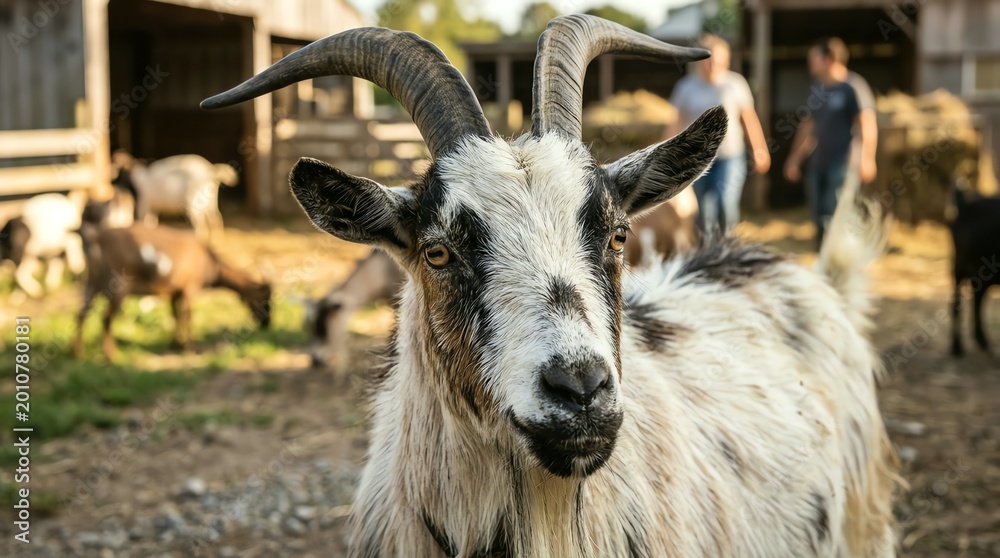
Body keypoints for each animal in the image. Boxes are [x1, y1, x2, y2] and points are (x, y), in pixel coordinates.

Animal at [73, 224, 271, 360]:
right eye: (265, 301)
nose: (266, 324)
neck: (210, 261)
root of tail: (97, 238)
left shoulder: (174, 292)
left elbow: (175, 315)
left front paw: (175, 344)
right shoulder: (190, 288)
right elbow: (187, 315)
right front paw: (192, 348)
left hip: (91, 283)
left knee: (81, 313)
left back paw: (78, 353)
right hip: (118, 287)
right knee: (106, 317)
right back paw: (112, 354)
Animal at [949, 186, 1000, 356]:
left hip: (979, 276)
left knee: (977, 301)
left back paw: (982, 340)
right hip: (959, 267)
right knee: (956, 303)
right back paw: (956, 347)